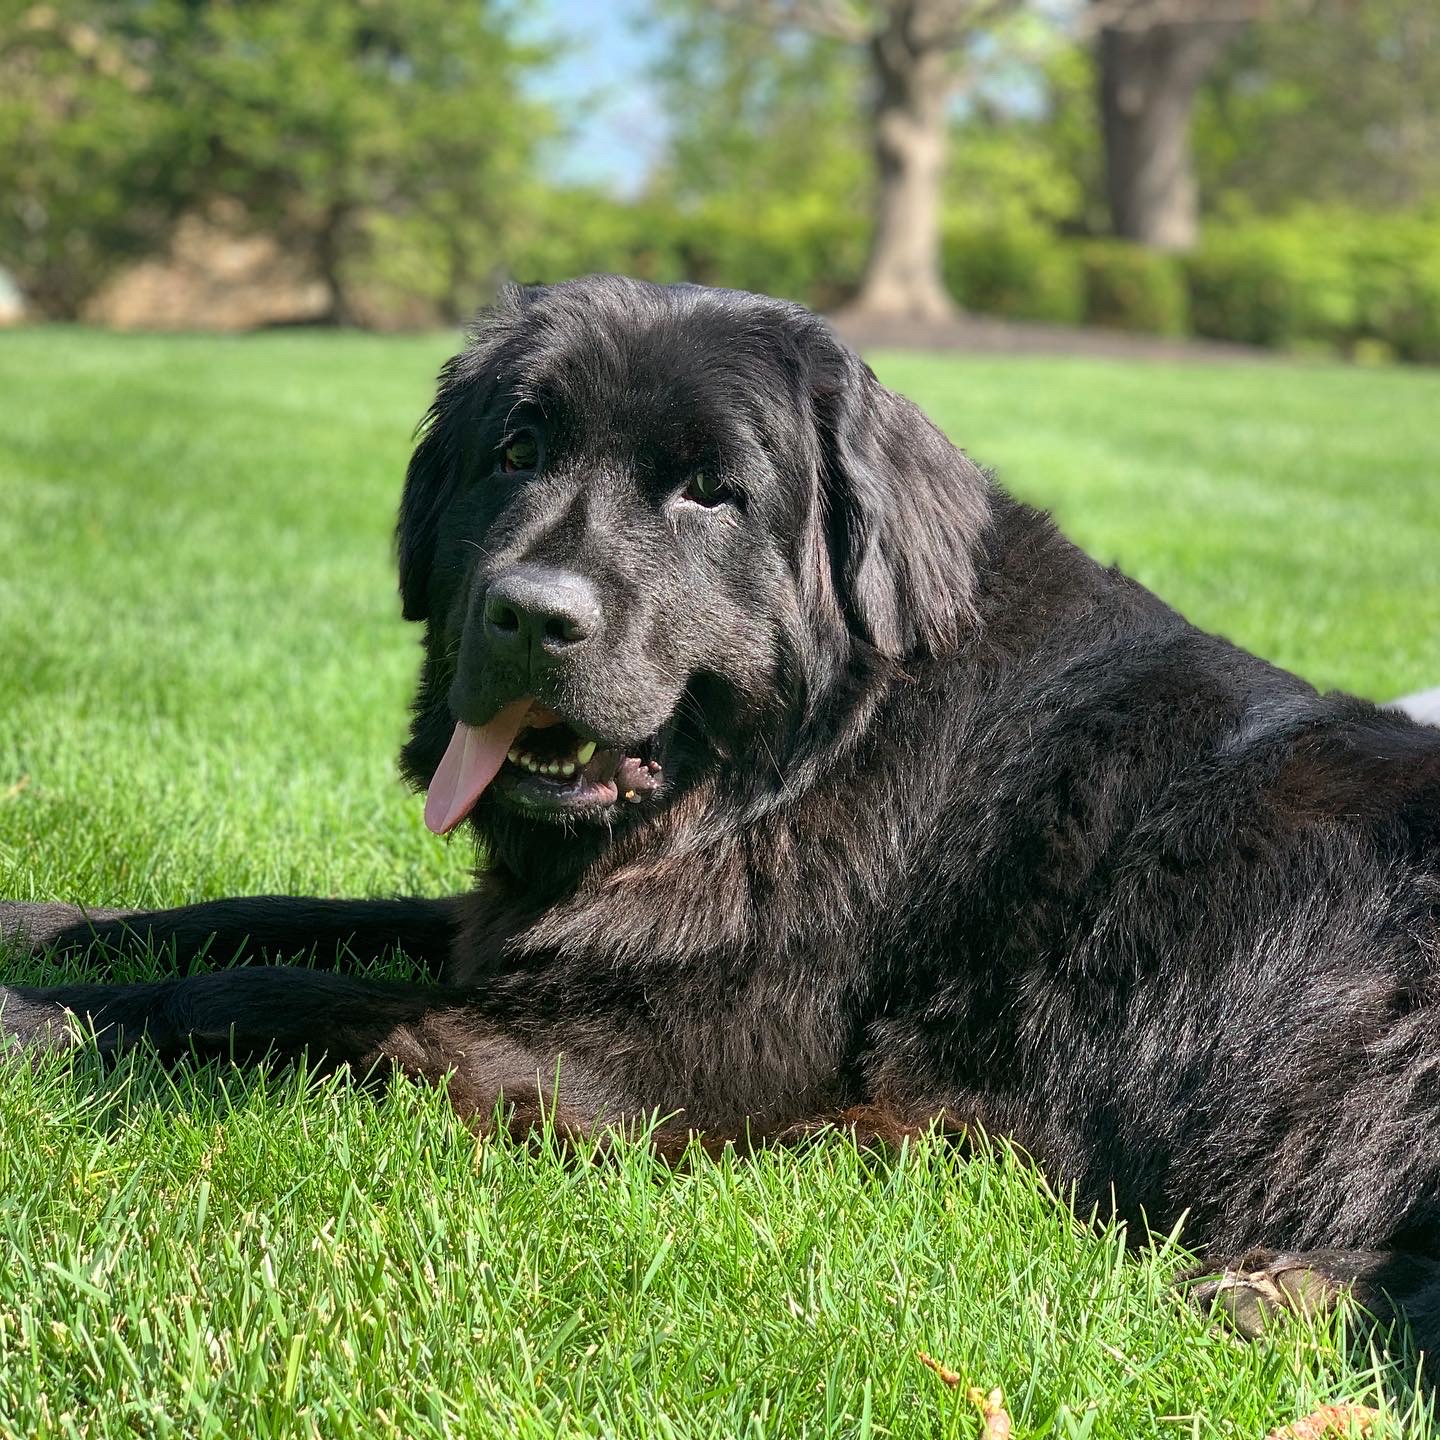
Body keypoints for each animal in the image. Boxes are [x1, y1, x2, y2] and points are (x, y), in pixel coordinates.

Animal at [2, 277, 1440, 1347]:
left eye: (709, 492)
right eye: (514, 452)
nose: (529, 613)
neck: (797, 770)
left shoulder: (655, 1058)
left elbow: (276, 995)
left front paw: (48, 1019)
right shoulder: (517, 933)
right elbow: (276, 914)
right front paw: (49, 928)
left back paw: (1270, 1296)